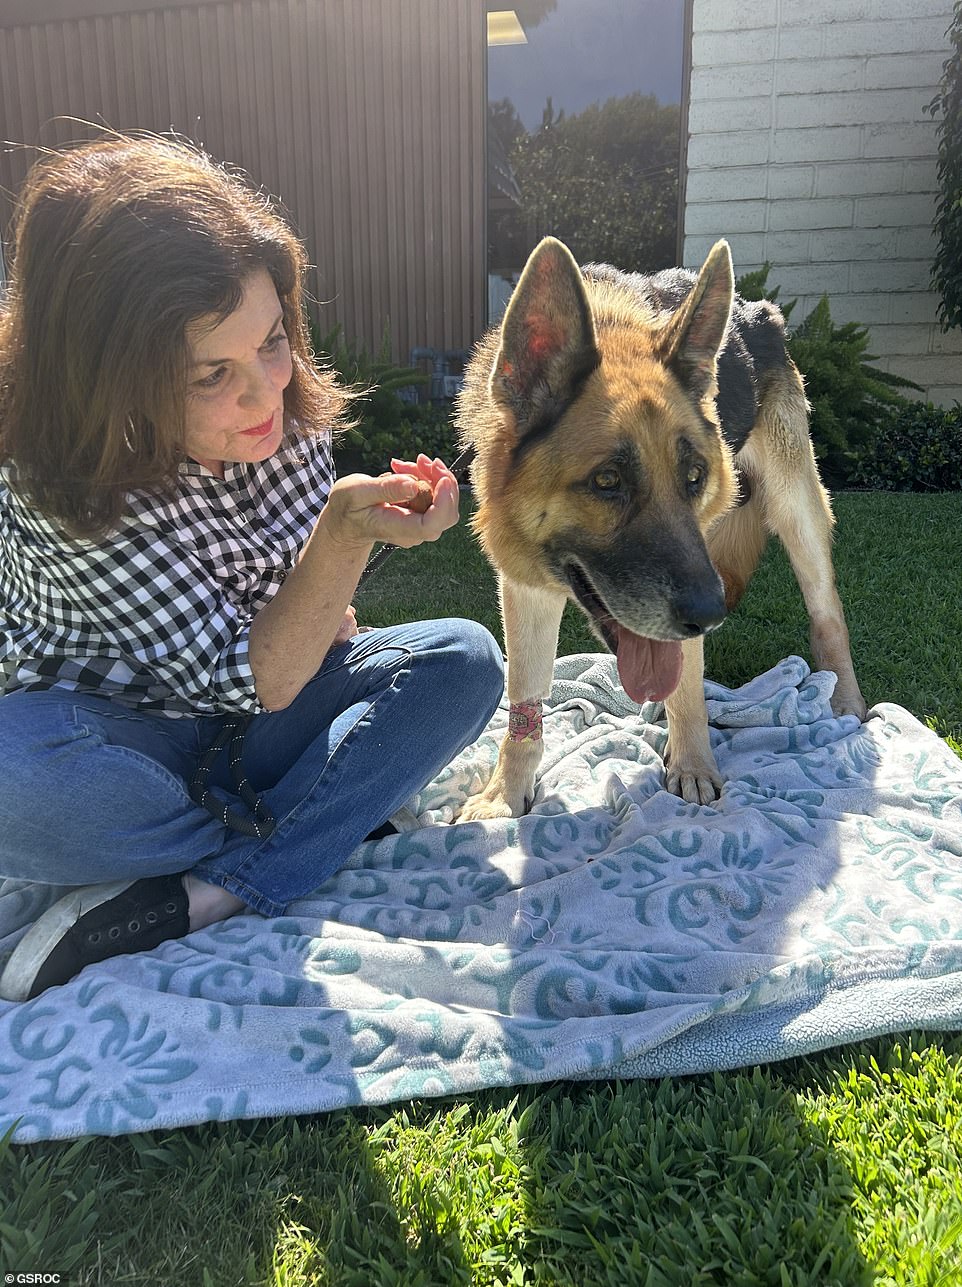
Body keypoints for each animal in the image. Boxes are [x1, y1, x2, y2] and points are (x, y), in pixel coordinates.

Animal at [455, 236, 870, 818]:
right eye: (607, 481)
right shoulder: (526, 587)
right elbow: (526, 701)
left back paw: (845, 700)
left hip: (796, 513)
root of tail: (759, 311)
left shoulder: (697, 570)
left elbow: (688, 684)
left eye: (693, 476)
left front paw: (693, 764)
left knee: (828, 614)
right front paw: (505, 793)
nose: (711, 615)